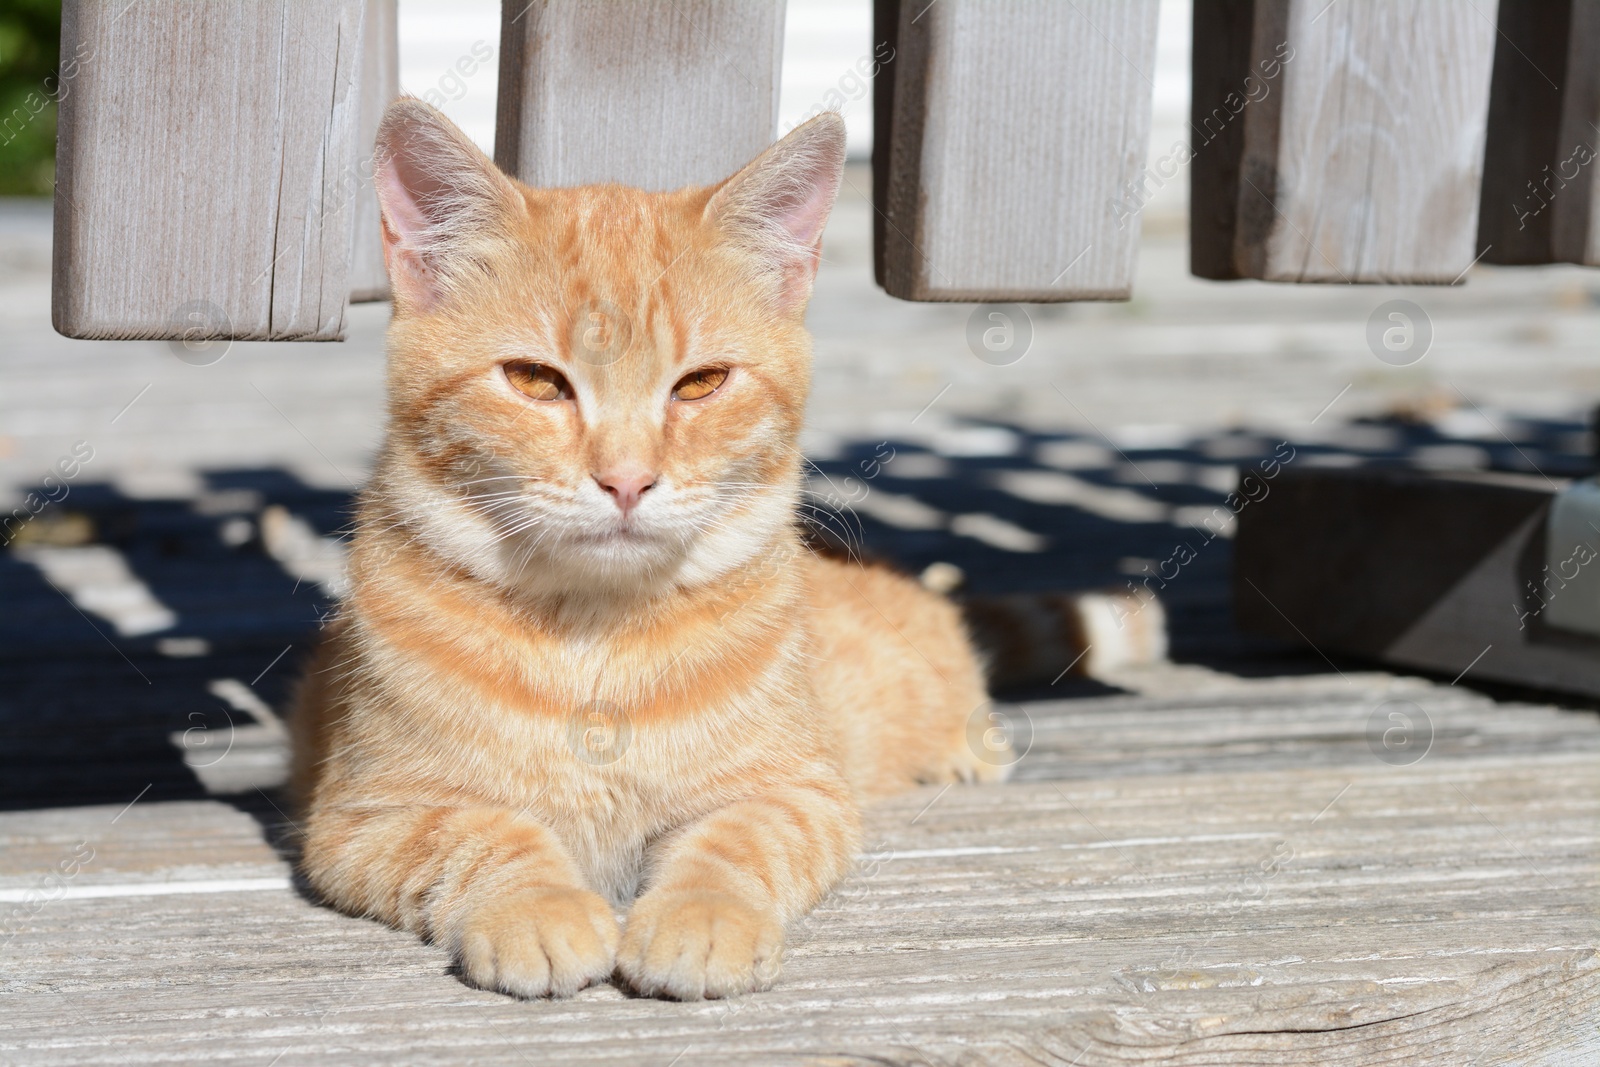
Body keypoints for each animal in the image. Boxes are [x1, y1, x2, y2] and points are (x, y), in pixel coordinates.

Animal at [289, 99, 1004, 1004]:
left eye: (700, 384)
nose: (627, 479)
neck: (597, 640)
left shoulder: (799, 793)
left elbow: (733, 843)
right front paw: (538, 906)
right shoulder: (364, 818)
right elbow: (487, 833)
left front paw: (702, 916)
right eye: (535, 381)